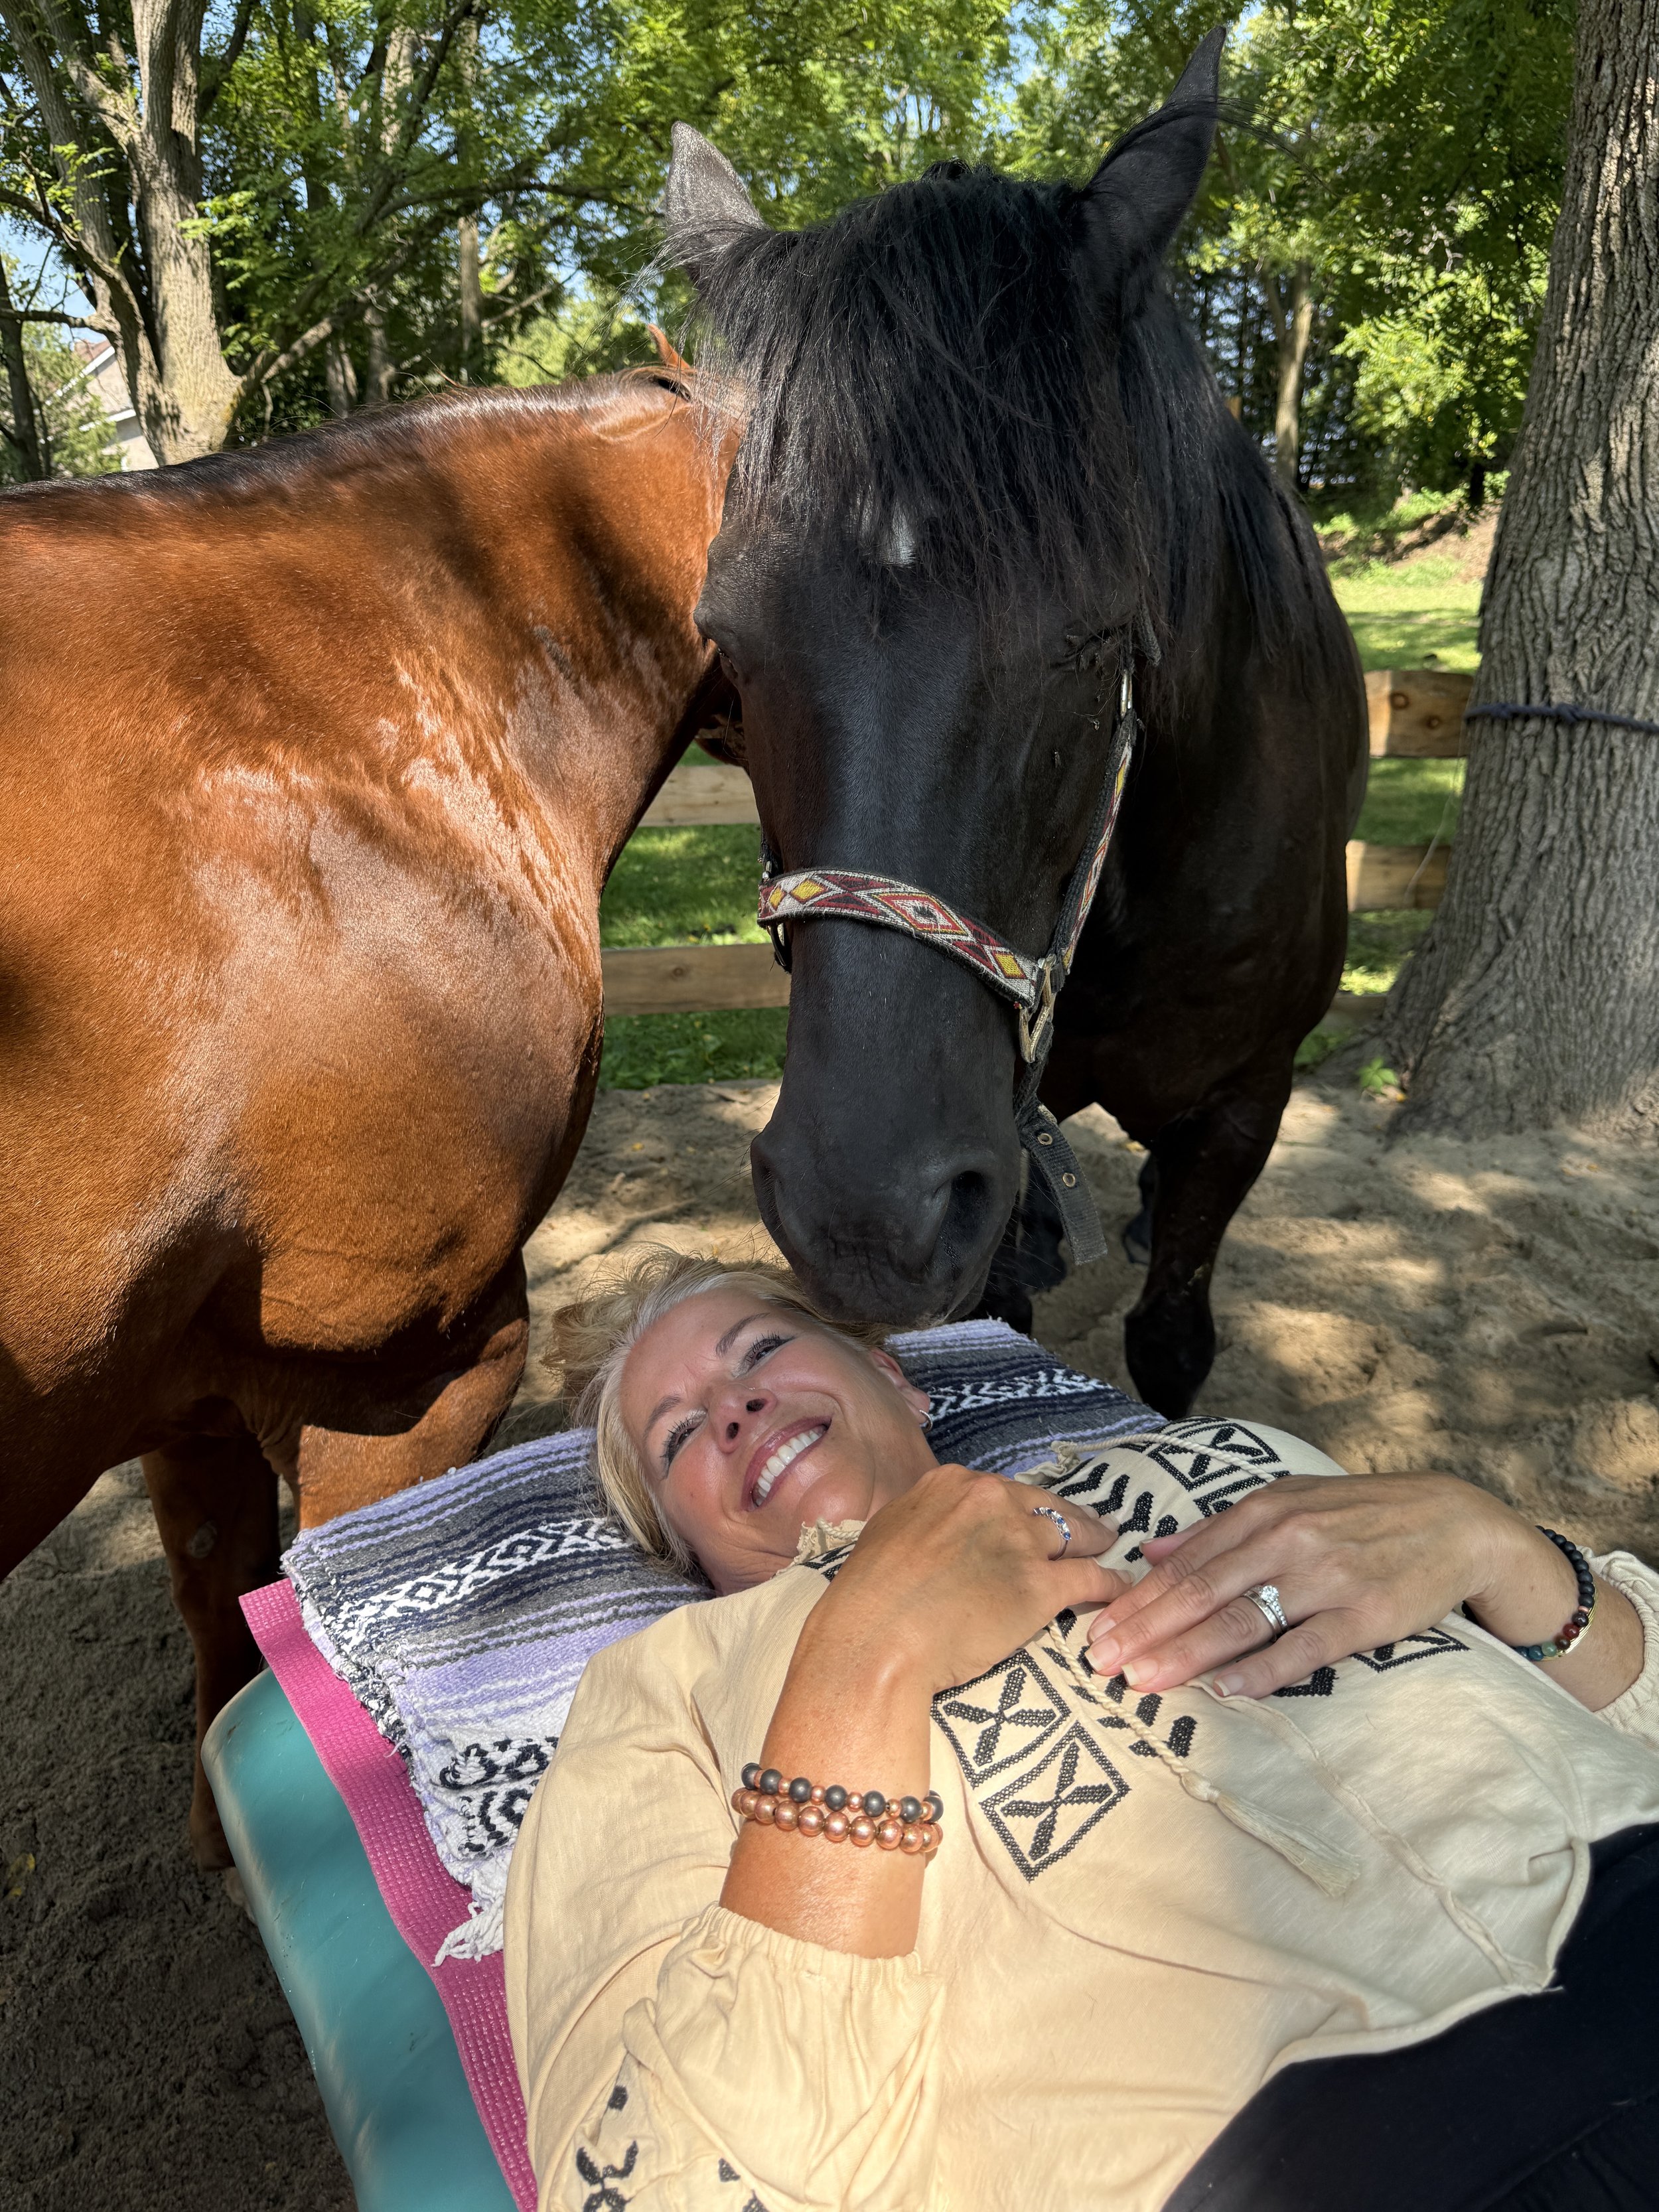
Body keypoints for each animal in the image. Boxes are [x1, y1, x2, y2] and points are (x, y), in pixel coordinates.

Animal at [663, 27, 1367, 1417]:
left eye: (1098, 637)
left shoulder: (1244, 1108)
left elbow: (1173, 1339)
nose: (862, 1217)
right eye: (727, 638)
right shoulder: (997, 1166)